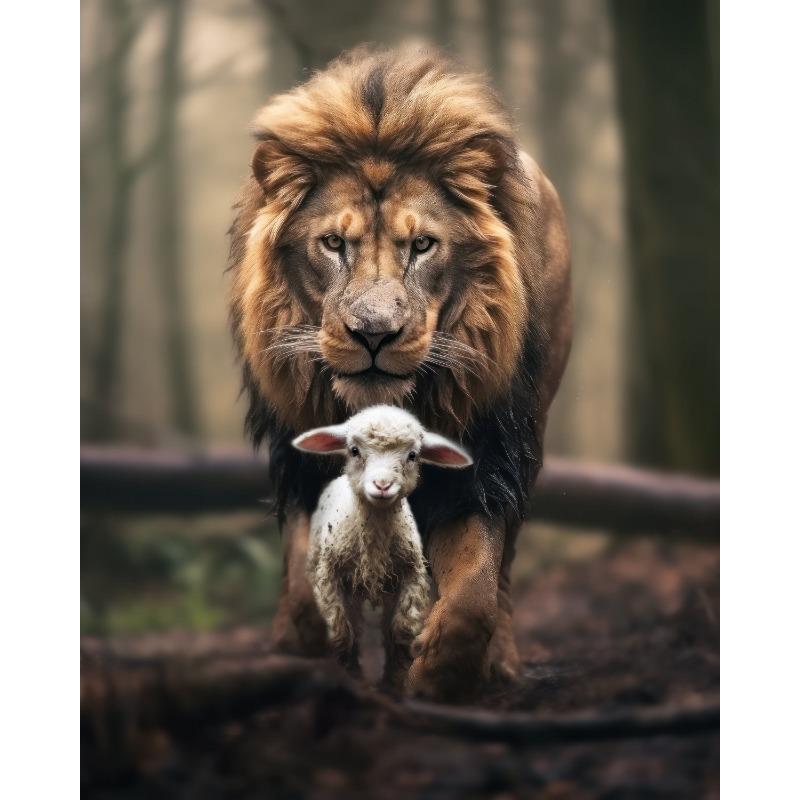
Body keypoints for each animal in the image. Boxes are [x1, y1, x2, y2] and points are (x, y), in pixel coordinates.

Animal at [292, 405, 473, 688]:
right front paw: (349, 675)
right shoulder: (328, 576)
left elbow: (400, 631)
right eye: (354, 450)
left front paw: (394, 683)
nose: (382, 485)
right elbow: (341, 631)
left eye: (412, 455)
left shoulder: (412, 575)